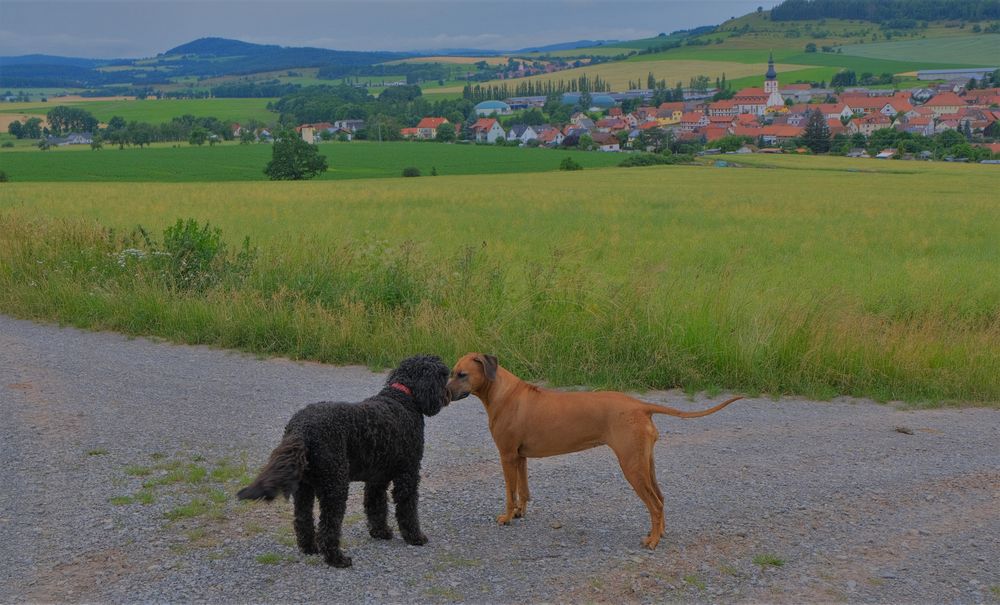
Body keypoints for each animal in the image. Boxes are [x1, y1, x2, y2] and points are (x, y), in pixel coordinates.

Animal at [236, 354, 452, 568]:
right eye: (443, 375)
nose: (449, 392)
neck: (402, 397)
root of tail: (301, 428)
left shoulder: (377, 479)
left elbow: (376, 506)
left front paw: (380, 532)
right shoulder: (408, 473)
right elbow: (407, 508)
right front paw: (415, 537)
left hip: (305, 488)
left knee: (303, 519)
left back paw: (309, 548)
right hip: (336, 485)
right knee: (328, 526)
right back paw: (337, 558)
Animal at [448, 352, 744, 548]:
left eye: (462, 374)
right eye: (451, 373)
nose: (444, 392)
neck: (503, 392)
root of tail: (640, 406)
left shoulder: (507, 455)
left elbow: (510, 493)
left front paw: (507, 517)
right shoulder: (520, 457)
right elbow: (523, 490)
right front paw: (520, 512)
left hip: (632, 466)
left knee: (656, 504)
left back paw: (652, 541)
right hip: (646, 463)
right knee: (661, 498)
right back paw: (661, 533)